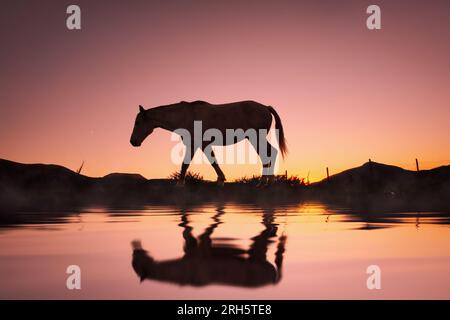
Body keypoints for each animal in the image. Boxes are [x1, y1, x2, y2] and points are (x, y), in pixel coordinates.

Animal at [130, 100, 286, 185]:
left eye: (138, 122)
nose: (133, 141)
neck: (185, 115)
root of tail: (265, 107)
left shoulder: (196, 143)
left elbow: (188, 164)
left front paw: (180, 184)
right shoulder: (200, 144)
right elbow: (210, 161)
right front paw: (220, 179)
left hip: (256, 137)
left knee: (268, 154)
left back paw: (265, 182)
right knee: (269, 154)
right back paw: (267, 181)